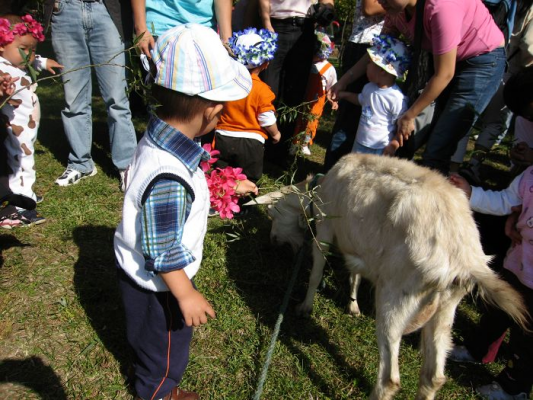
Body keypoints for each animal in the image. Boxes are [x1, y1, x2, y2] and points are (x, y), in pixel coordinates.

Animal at [251, 154, 524, 400]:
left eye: (274, 214)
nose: (272, 241)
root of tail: (463, 257)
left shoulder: (325, 230)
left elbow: (316, 273)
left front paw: (304, 307)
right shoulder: (360, 246)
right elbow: (355, 274)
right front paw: (353, 305)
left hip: (396, 299)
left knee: (389, 378)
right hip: (446, 308)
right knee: (433, 376)